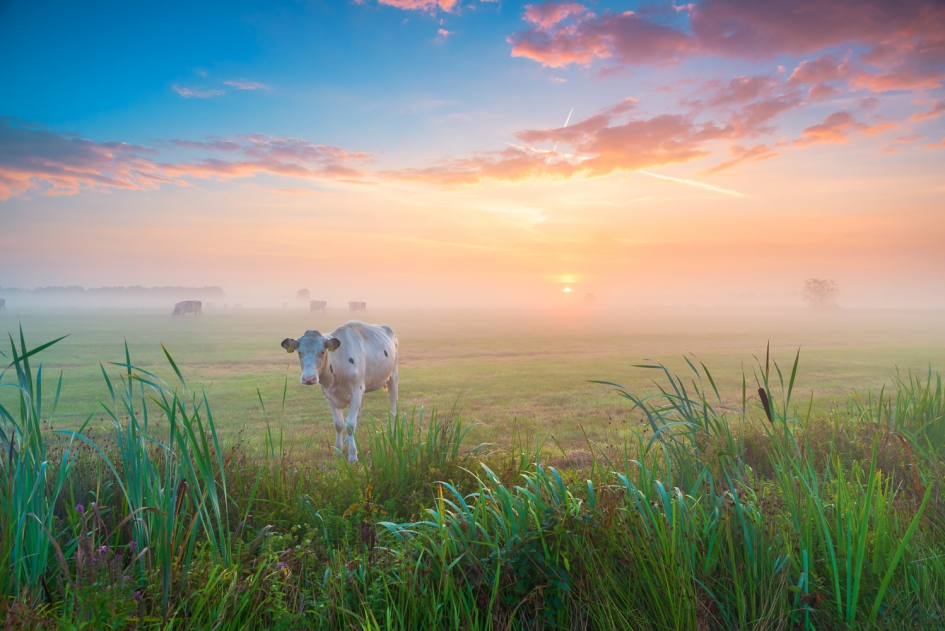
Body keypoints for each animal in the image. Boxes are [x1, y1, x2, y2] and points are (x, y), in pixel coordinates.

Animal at [281, 321, 398, 462]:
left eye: (322, 352)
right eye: (299, 352)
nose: (309, 378)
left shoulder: (356, 392)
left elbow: (350, 424)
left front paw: (352, 455)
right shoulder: (329, 395)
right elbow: (339, 424)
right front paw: (338, 450)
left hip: (393, 376)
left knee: (393, 408)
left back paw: (394, 434)